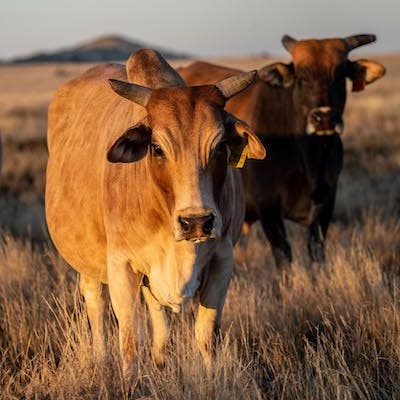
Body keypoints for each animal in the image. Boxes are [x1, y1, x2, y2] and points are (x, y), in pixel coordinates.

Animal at [46, 48, 266, 376]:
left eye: (220, 146)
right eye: (157, 147)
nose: (196, 221)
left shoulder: (223, 260)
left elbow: (206, 337)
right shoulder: (121, 266)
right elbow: (129, 342)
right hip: (88, 263)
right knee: (95, 304)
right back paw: (101, 358)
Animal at [180, 33, 386, 266]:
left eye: (340, 75)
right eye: (302, 77)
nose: (324, 118)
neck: (309, 157)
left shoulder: (325, 205)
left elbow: (316, 252)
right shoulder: (269, 208)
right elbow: (283, 255)